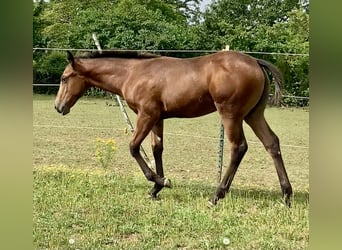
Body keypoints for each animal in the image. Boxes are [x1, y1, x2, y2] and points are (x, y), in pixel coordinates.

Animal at [54, 50, 292, 207]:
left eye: (64, 78)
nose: (58, 107)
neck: (133, 73)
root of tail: (256, 61)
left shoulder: (146, 114)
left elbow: (133, 147)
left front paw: (162, 181)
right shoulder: (157, 118)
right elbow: (157, 149)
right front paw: (155, 189)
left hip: (231, 114)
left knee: (239, 147)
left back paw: (216, 196)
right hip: (254, 115)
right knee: (272, 143)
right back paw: (286, 195)